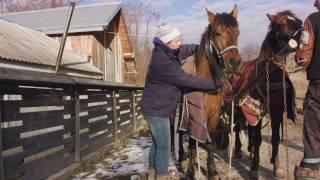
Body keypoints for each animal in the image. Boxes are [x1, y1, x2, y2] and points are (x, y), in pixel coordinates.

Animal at [184, 5, 241, 180]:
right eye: (217, 33)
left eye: (237, 32)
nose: (234, 62)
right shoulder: (194, 116)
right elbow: (192, 144)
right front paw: (190, 171)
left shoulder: (214, 116)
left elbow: (211, 144)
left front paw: (212, 171)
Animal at [228, 10, 302, 178]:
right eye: (282, 23)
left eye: (299, 21)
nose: (302, 34)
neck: (269, 76)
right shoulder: (256, 111)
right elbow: (258, 139)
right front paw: (255, 168)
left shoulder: (276, 111)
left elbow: (274, 139)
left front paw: (277, 166)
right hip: (237, 105)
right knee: (238, 127)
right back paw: (238, 149)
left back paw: (250, 151)